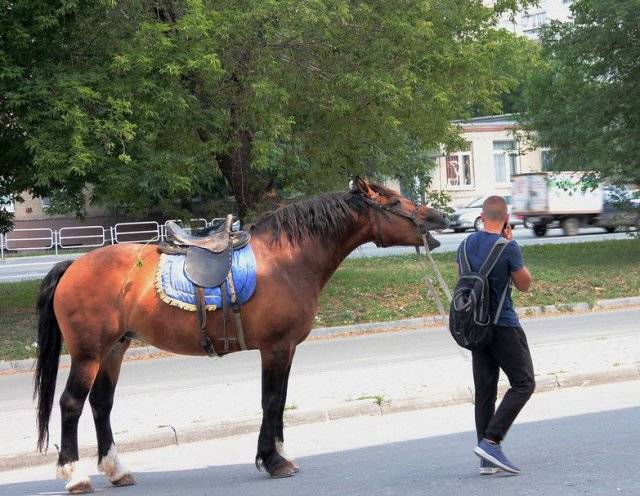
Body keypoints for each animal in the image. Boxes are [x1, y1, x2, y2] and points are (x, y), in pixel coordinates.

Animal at [33, 177, 444, 492]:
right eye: (394, 201)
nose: (439, 216)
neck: (287, 258)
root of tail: (74, 265)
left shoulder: (286, 349)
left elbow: (279, 402)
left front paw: (278, 454)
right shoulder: (276, 347)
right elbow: (271, 401)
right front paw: (273, 460)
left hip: (114, 350)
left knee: (101, 404)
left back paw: (117, 470)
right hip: (88, 353)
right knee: (71, 404)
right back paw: (75, 475)